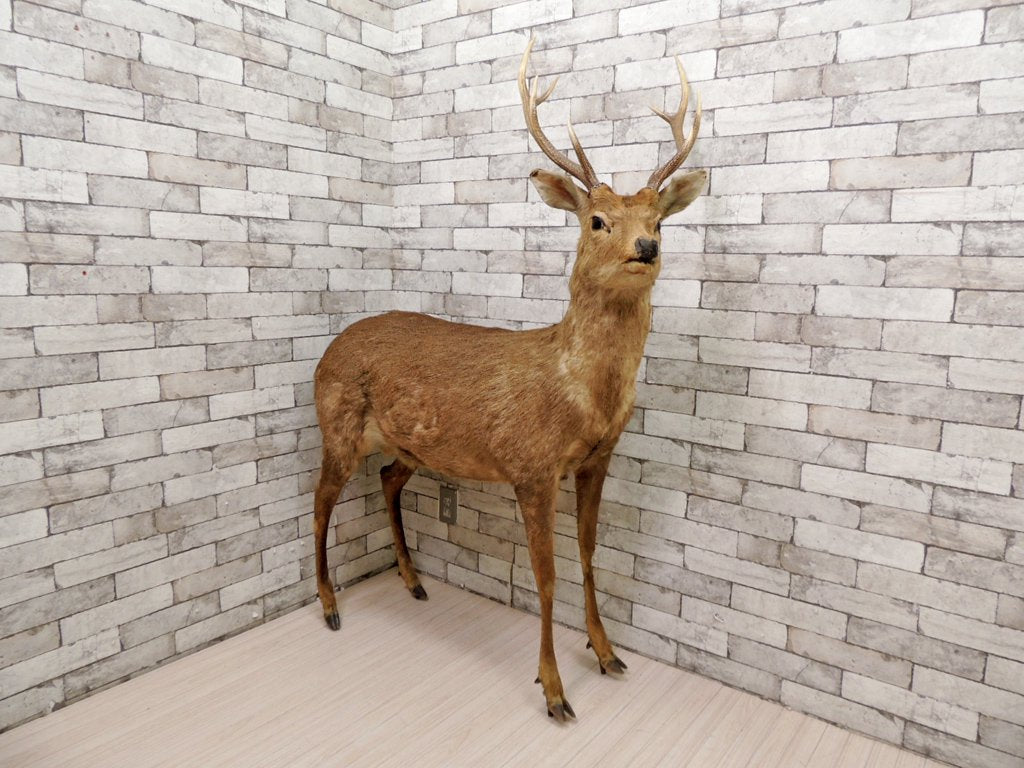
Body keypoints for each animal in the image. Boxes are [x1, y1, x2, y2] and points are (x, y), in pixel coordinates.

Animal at [312, 37, 705, 722]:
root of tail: (327, 351)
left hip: (410, 445)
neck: (583, 398)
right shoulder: (531, 465)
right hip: (335, 423)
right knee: (318, 502)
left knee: (385, 479)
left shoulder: (597, 459)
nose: (647, 247)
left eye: (661, 219)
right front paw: (553, 689)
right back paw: (330, 605)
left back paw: (413, 582)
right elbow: (545, 577)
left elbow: (589, 554)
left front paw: (607, 653)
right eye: (597, 220)